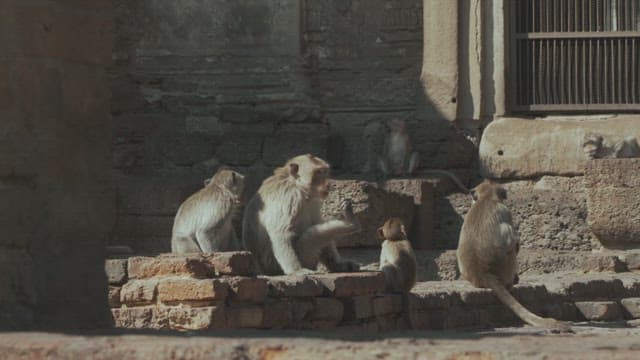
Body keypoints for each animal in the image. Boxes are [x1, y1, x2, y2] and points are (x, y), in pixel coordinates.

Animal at [458, 179, 572, 332]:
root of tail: (482, 273)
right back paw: (512, 281)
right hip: (505, 268)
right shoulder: (505, 210)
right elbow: (512, 241)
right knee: (511, 249)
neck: (485, 198)